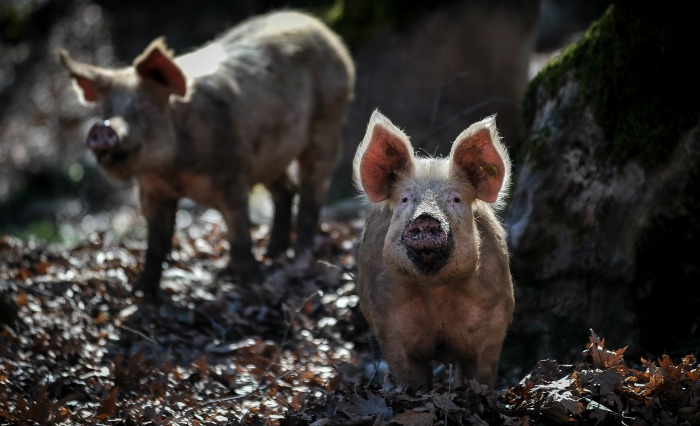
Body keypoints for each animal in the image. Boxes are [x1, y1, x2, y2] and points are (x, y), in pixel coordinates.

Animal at [356, 108, 516, 392]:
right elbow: (410, 377)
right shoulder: (389, 324)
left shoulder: (492, 321)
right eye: (405, 199)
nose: (426, 218)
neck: (436, 291)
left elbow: (481, 375)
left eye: (455, 199)